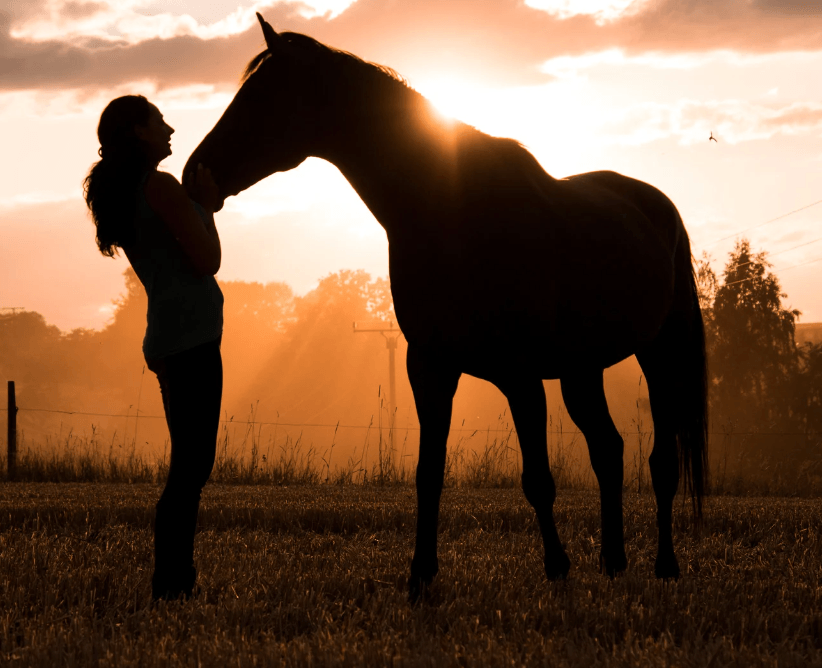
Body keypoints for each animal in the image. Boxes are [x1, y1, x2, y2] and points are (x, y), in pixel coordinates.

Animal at [185, 13, 708, 601]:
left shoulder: (520, 375)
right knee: (609, 451)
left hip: (660, 356)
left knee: (661, 461)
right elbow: (427, 475)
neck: (451, 211)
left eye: (262, 97)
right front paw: (420, 575)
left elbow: (538, 478)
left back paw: (664, 564)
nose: (194, 172)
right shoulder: (430, 367)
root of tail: (656, 205)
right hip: (582, 371)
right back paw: (614, 561)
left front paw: (556, 567)